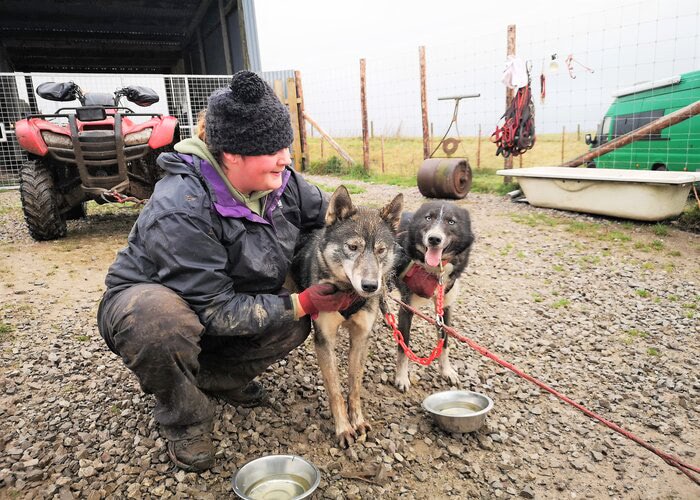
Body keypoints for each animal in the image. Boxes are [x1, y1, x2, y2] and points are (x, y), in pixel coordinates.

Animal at [292, 186, 402, 448]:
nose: (371, 286)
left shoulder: (361, 338)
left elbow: (354, 386)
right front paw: (343, 428)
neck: (347, 294)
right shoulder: (324, 340)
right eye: (353, 247)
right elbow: (335, 391)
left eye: (380, 250)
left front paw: (357, 421)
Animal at [394, 201, 476, 392]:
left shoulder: (444, 307)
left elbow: (444, 342)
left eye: (451, 221)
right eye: (428, 218)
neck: (435, 270)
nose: (434, 239)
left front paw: (446, 370)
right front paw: (401, 377)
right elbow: (404, 347)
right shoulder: (407, 307)